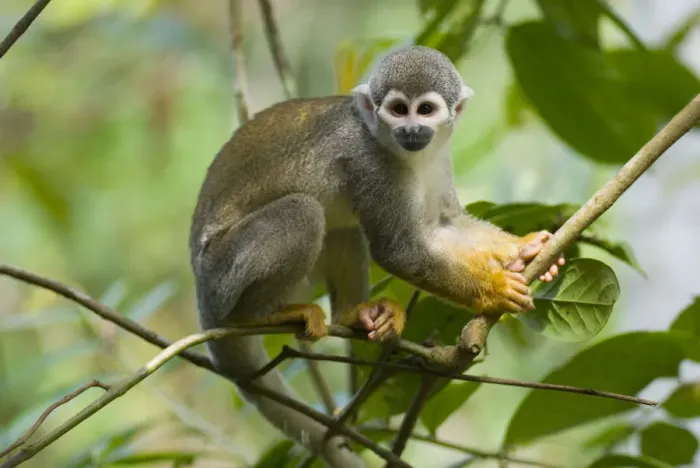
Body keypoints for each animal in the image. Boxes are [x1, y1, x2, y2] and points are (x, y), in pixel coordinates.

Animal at [188, 45, 564, 467]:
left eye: (425, 110)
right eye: (399, 110)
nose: (411, 130)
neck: (398, 150)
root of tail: (201, 294)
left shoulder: (438, 154)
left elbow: (443, 225)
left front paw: (527, 247)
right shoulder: (370, 163)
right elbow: (399, 250)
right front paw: (494, 289)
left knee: (345, 227)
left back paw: (355, 315)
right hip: (223, 273)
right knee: (305, 212)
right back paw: (257, 316)